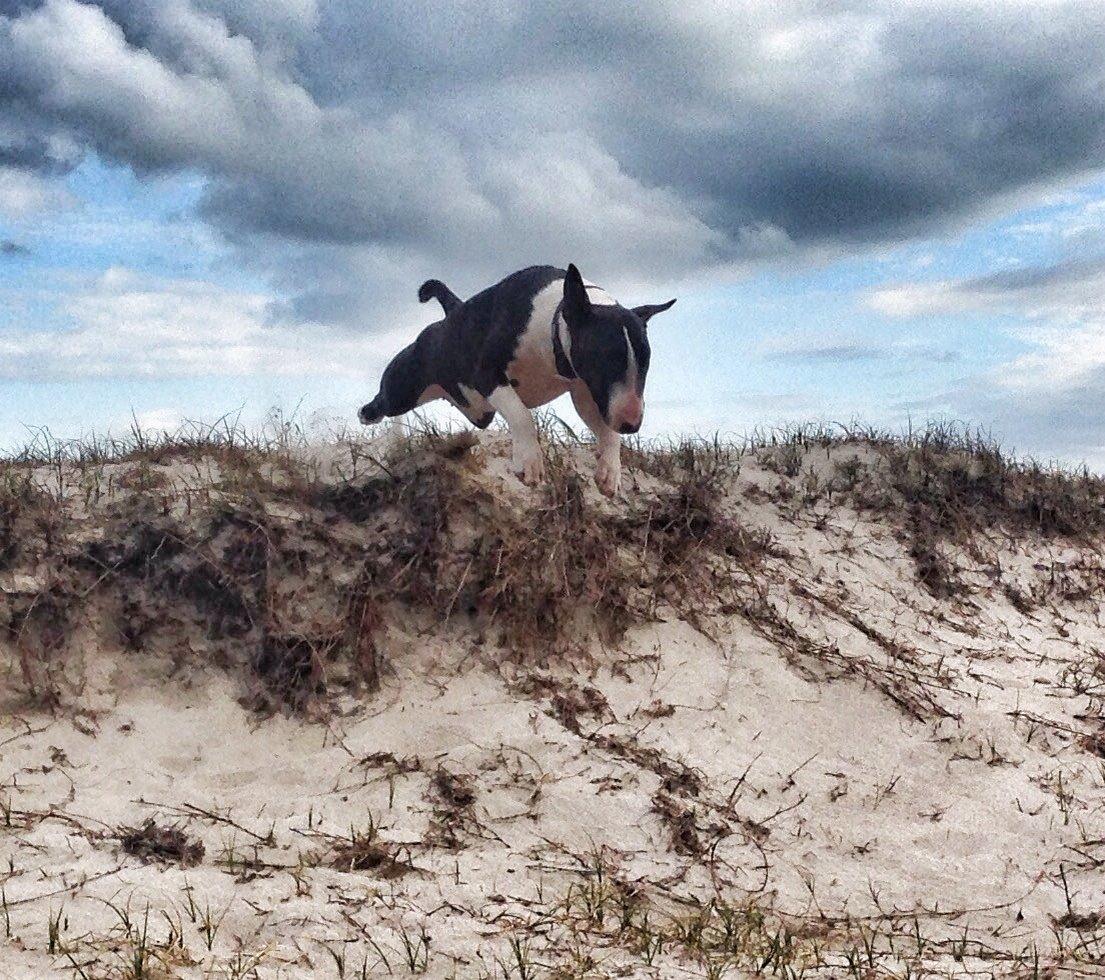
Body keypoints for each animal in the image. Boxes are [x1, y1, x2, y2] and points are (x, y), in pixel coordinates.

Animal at [360, 262, 671, 497]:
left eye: (646, 362)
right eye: (607, 359)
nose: (632, 425)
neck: (553, 322)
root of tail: (451, 316)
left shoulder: (586, 391)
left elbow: (604, 428)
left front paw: (609, 471)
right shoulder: (486, 374)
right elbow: (522, 416)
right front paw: (530, 463)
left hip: (477, 411)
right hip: (403, 389)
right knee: (384, 402)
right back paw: (369, 417)